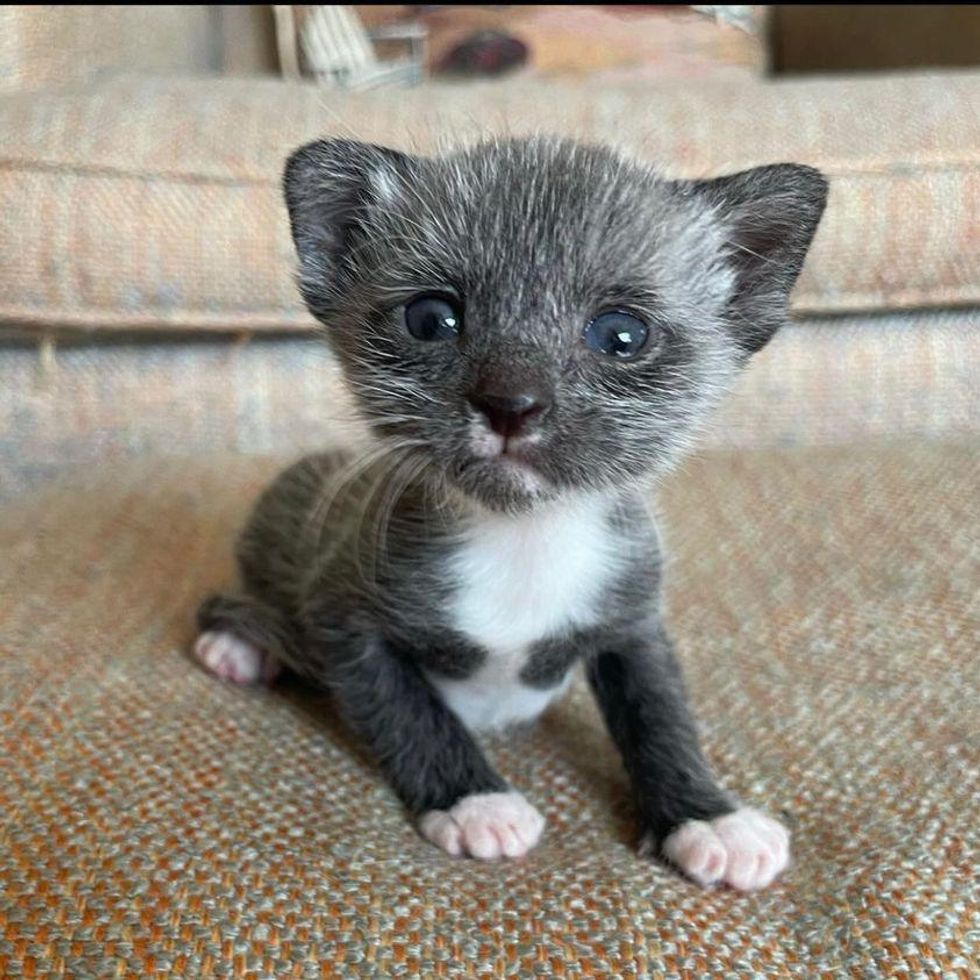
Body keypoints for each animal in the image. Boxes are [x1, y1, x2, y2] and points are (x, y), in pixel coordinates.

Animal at [193, 134, 828, 892]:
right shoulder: (343, 617)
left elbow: (662, 714)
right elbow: (410, 712)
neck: (523, 537)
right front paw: (475, 801)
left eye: (622, 335)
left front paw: (707, 814)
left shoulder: (633, 620)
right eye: (431, 318)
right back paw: (237, 645)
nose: (510, 403)